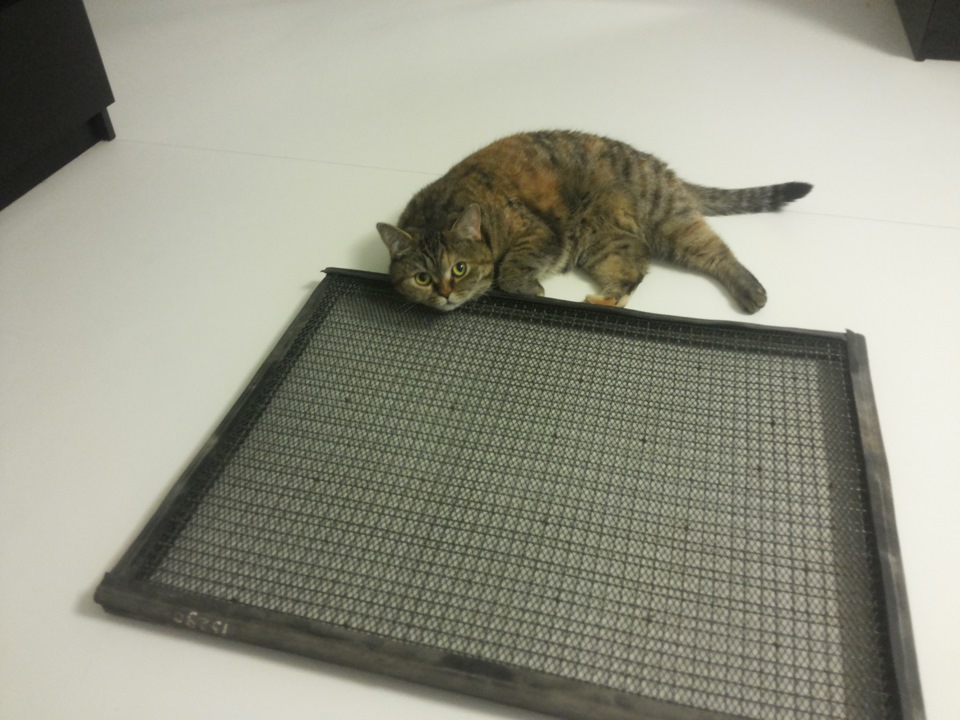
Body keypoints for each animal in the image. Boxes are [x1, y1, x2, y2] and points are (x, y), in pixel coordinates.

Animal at [377, 130, 811, 313]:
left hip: (669, 222)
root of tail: (662, 168)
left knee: (717, 253)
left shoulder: (539, 233)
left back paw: (752, 291)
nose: (445, 293)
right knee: (634, 269)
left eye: (459, 268)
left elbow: (512, 270)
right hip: (604, 244)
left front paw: (530, 288)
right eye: (421, 278)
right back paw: (606, 300)